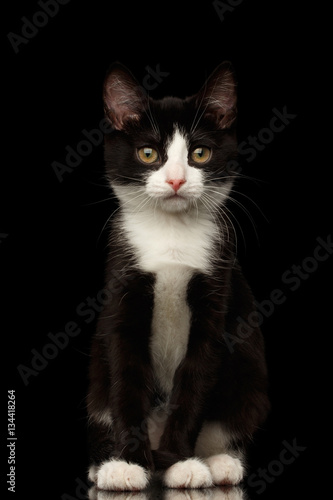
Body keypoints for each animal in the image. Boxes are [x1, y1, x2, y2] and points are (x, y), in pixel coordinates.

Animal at [86, 61, 270, 488]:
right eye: (148, 153)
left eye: (200, 153)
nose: (175, 180)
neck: (170, 235)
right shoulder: (124, 280)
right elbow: (126, 373)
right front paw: (129, 464)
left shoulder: (217, 286)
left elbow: (197, 377)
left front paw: (179, 463)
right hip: (97, 379)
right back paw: (105, 462)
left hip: (249, 379)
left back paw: (219, 462)